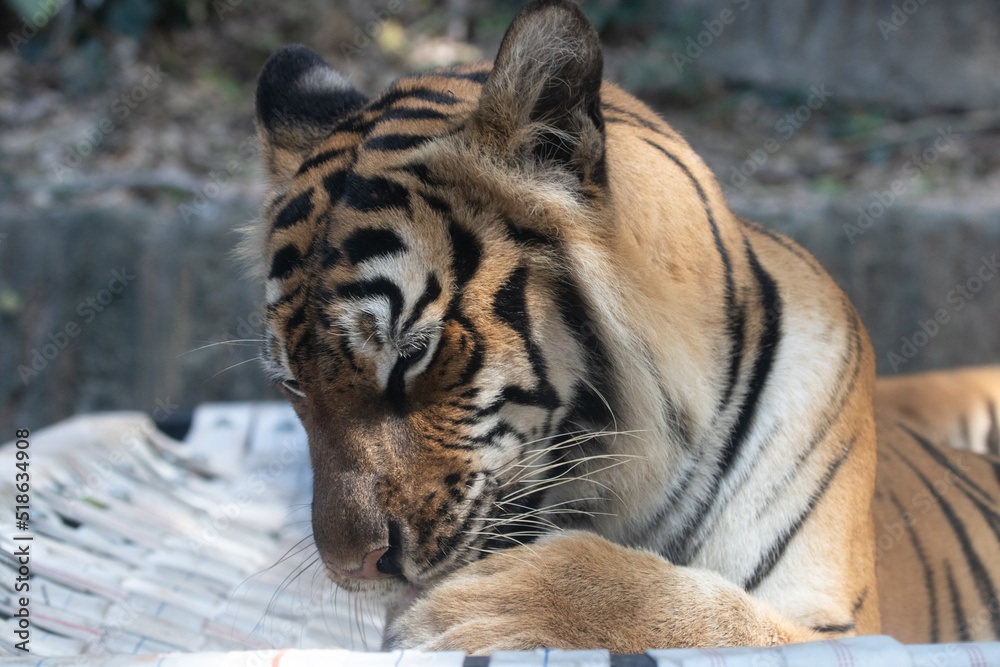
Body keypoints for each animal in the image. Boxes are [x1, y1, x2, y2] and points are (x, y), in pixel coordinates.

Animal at [245, 0, 1000, 652]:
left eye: (413, 355)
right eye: (292, 385)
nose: (351, 569)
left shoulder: (842, 626)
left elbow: (700, 607)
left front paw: (481, 606)